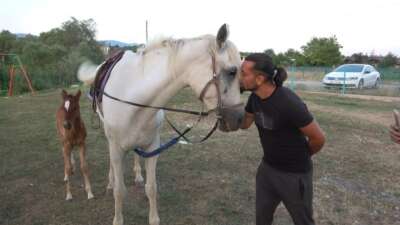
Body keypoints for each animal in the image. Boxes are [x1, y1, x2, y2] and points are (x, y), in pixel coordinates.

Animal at [76, 24, 242, 225]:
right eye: (232, 71)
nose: (240, 118)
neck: (134, 98)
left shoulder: (153, 147)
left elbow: (151, 188)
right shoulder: (116, 148)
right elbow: (119, 190)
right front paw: (117, 216)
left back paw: (138, 175)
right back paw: (110, 180)